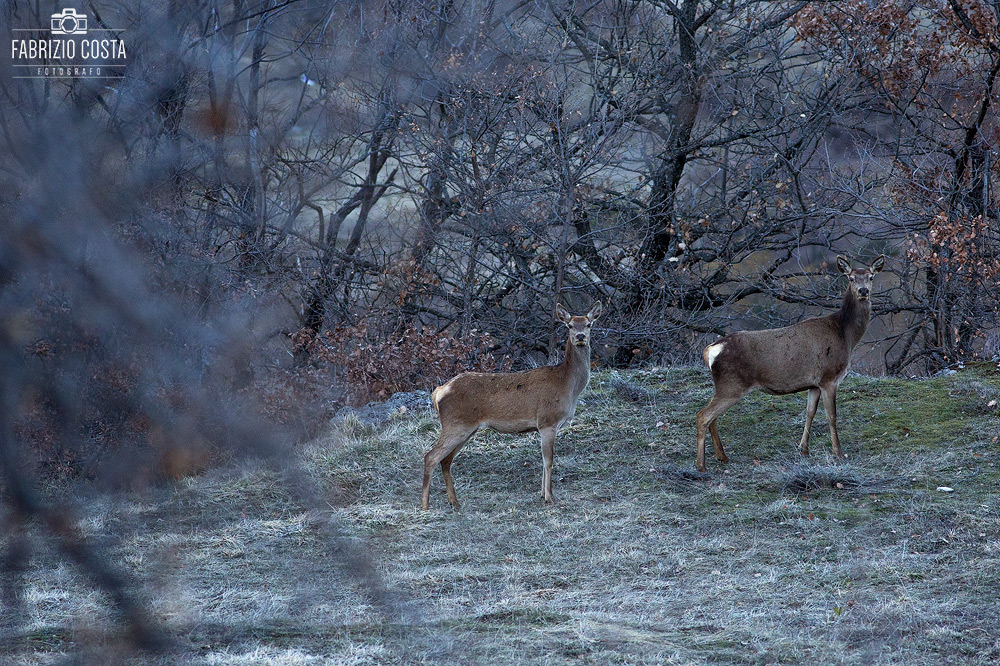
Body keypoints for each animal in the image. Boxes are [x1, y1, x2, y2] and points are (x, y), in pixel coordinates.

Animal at [422, 300, 600, 508]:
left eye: (588, 324)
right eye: (570, 325)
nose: (580, 337)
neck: (567, 384)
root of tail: (439, 391)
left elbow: (543, 460)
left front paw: (542, 494)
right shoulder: (547, 421)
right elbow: (548, 461)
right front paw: (549, 497)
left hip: (466, 428)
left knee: (446, 460)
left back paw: (454, 502)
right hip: (455, 424)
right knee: (430, 457)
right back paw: (425, 506)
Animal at [696, 252, 884, 470]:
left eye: (871, 277)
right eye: (851, 278)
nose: (863, 291)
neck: (845, 335)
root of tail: (710, 350)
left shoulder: (814, 383)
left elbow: (810, 413)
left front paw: (803, 449)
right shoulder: (829, 377)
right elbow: (832, 416)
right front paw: (838, 453)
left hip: (726, 386)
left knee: (712, 417)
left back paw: (722, 456)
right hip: (732, 384)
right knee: (703, 415)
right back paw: (701, 465)